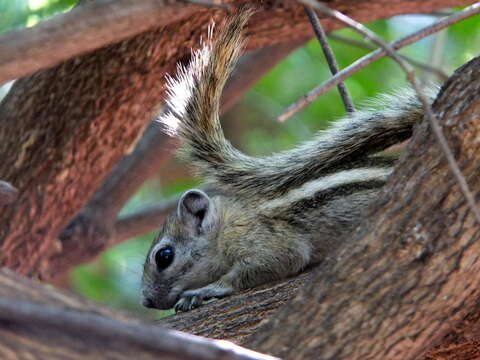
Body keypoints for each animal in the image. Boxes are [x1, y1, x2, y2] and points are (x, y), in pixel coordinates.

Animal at [141, 8, 436, 312]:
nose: (146, 301)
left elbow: (275, 262)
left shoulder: (267, 241)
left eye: (164, 256)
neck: (228, 224)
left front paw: (207, 289)